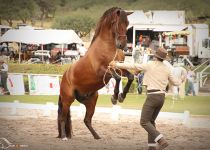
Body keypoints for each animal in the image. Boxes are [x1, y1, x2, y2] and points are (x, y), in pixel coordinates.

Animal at [57, 7, 133, 141]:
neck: (107, 47)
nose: (122, 45)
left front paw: (121, 96)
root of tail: (65, 77)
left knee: (87, 120)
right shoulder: (102, 71)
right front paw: (114, 97)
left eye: (127, 23)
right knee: (63, 117)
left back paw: (97, 137)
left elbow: (130, 77)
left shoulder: (119, 68)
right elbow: (117, 78)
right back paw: (64, 137)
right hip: (67, 100)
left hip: (91, 101)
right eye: (116, 23)